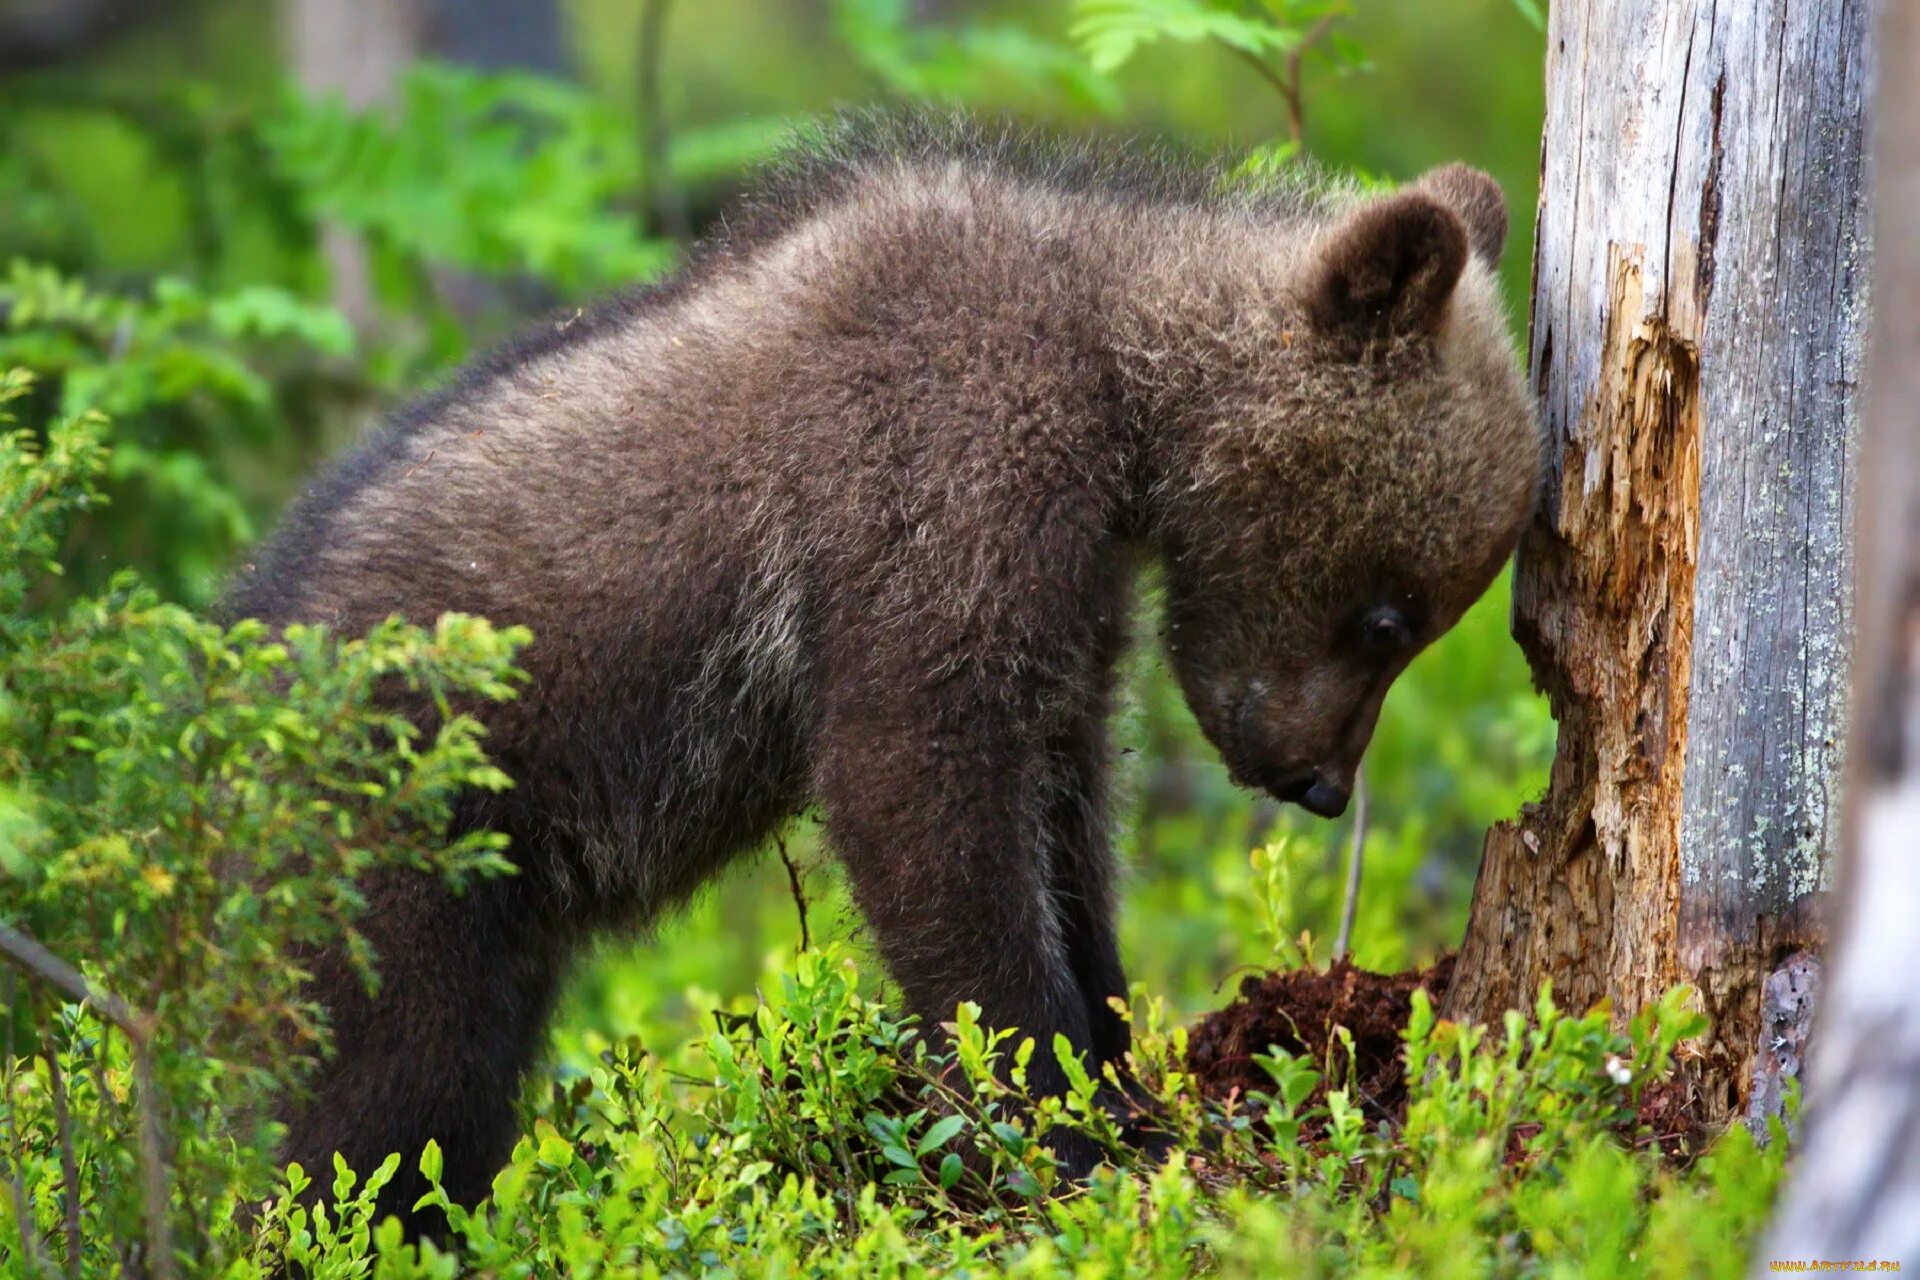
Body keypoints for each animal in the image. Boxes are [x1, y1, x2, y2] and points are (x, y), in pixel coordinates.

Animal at [224, 115, 1543, 1228]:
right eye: (1391, 613)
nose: (1318, 780)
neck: (1118, 390)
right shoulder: (930, 494)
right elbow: (924, 798)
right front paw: (1055, 1125)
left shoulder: (1073, 612)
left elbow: (1069, 823)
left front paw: (1124, 1076)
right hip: (397, 844)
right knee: (384, 1092)